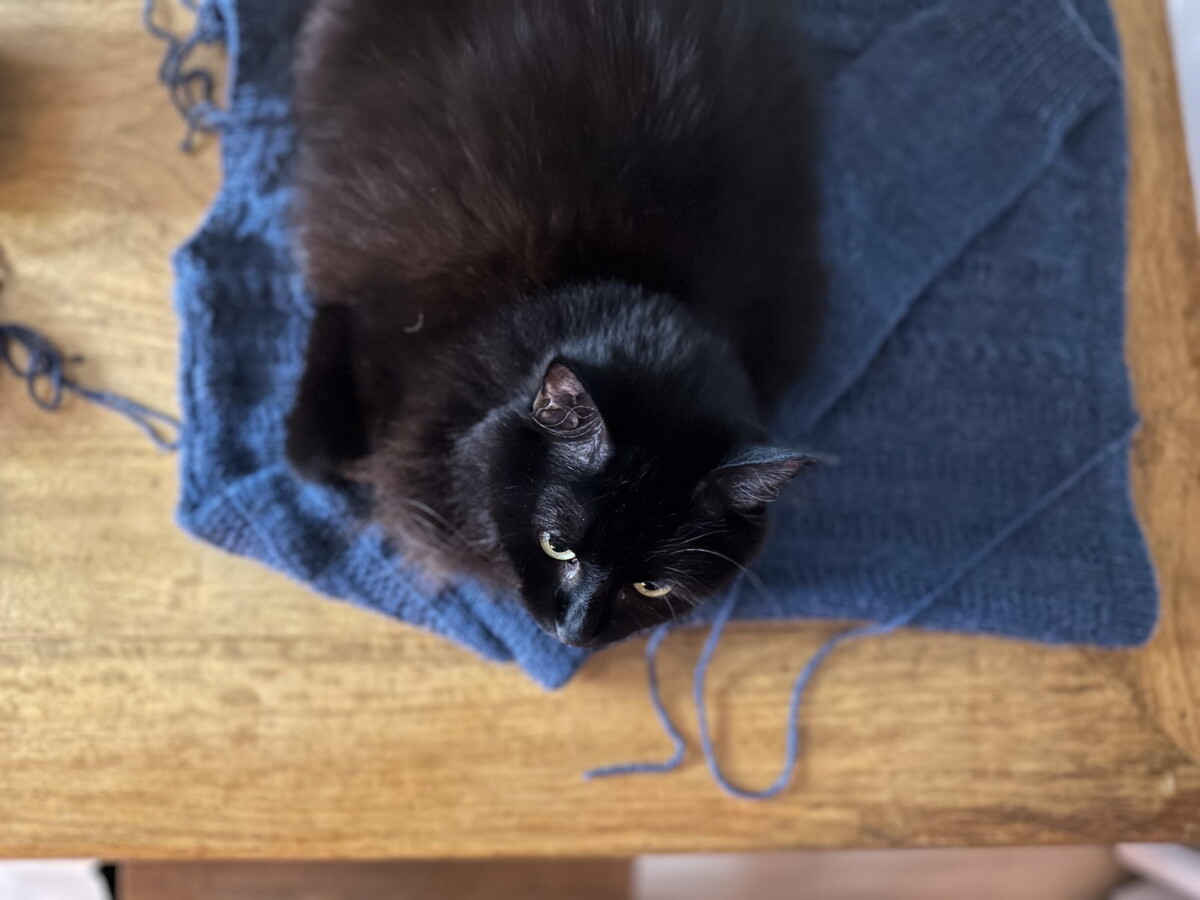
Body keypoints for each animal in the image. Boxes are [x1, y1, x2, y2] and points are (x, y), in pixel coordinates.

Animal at [288, 0, 825, 648]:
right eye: (555, 547)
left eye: (650, 587)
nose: (575, 633)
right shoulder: (387, 298)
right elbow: (339, 313)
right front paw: (318, 451)